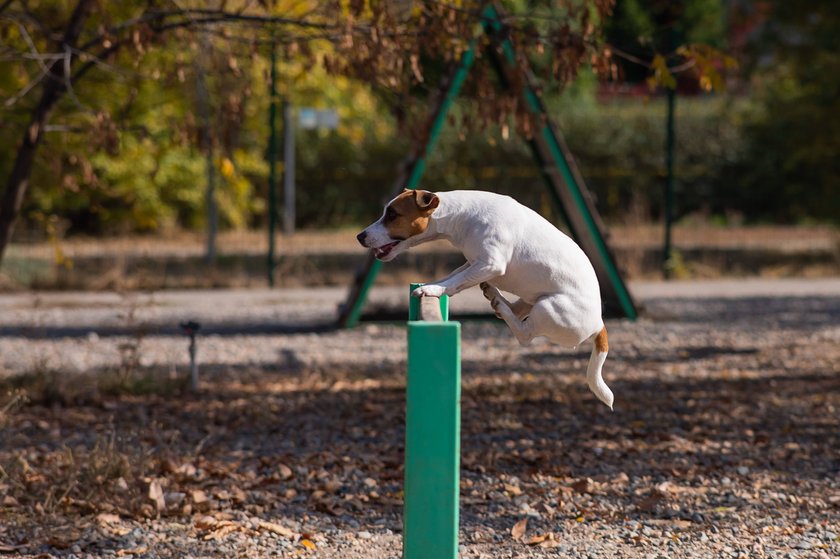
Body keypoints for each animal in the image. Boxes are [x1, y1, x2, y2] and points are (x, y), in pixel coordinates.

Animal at [358, 190, 612, 410]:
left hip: (549, 306)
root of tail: (599, 323)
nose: (360, 236)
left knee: (525, 334)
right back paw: (497, 299)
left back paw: (501, 305)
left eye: (392, 214)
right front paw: (434, 284)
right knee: (519, 311)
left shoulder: (490, 264)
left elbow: (456, 281)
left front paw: (433, 289)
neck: (459, 215)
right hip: (532, 297)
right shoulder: (473, 262)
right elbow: (454, 276)